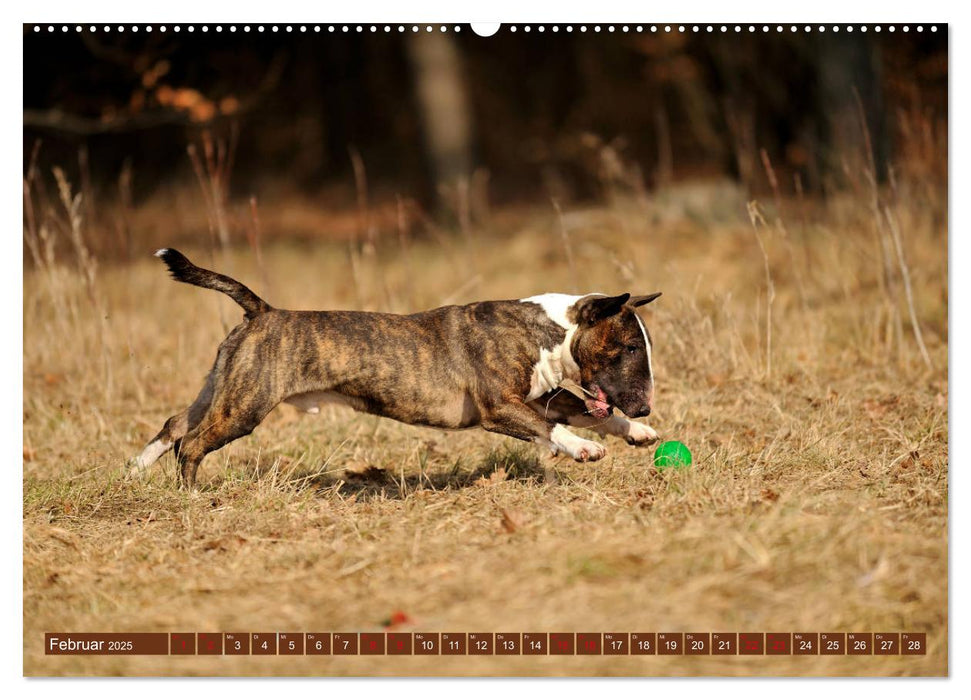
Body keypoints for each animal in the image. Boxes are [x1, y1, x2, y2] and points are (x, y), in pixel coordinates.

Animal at [131, 250, 660, 486]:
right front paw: (584, 449)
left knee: (175, 424)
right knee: (191, 443)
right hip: (245, 406)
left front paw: (635, 433)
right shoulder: (499, 407)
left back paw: (133, 472)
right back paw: (192, 497)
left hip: (222, 389)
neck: (549, 330)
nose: (646, 409)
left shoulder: (543, 396)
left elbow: (583, 411)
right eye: (631, 347)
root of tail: (261, 311)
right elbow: (550, 429)